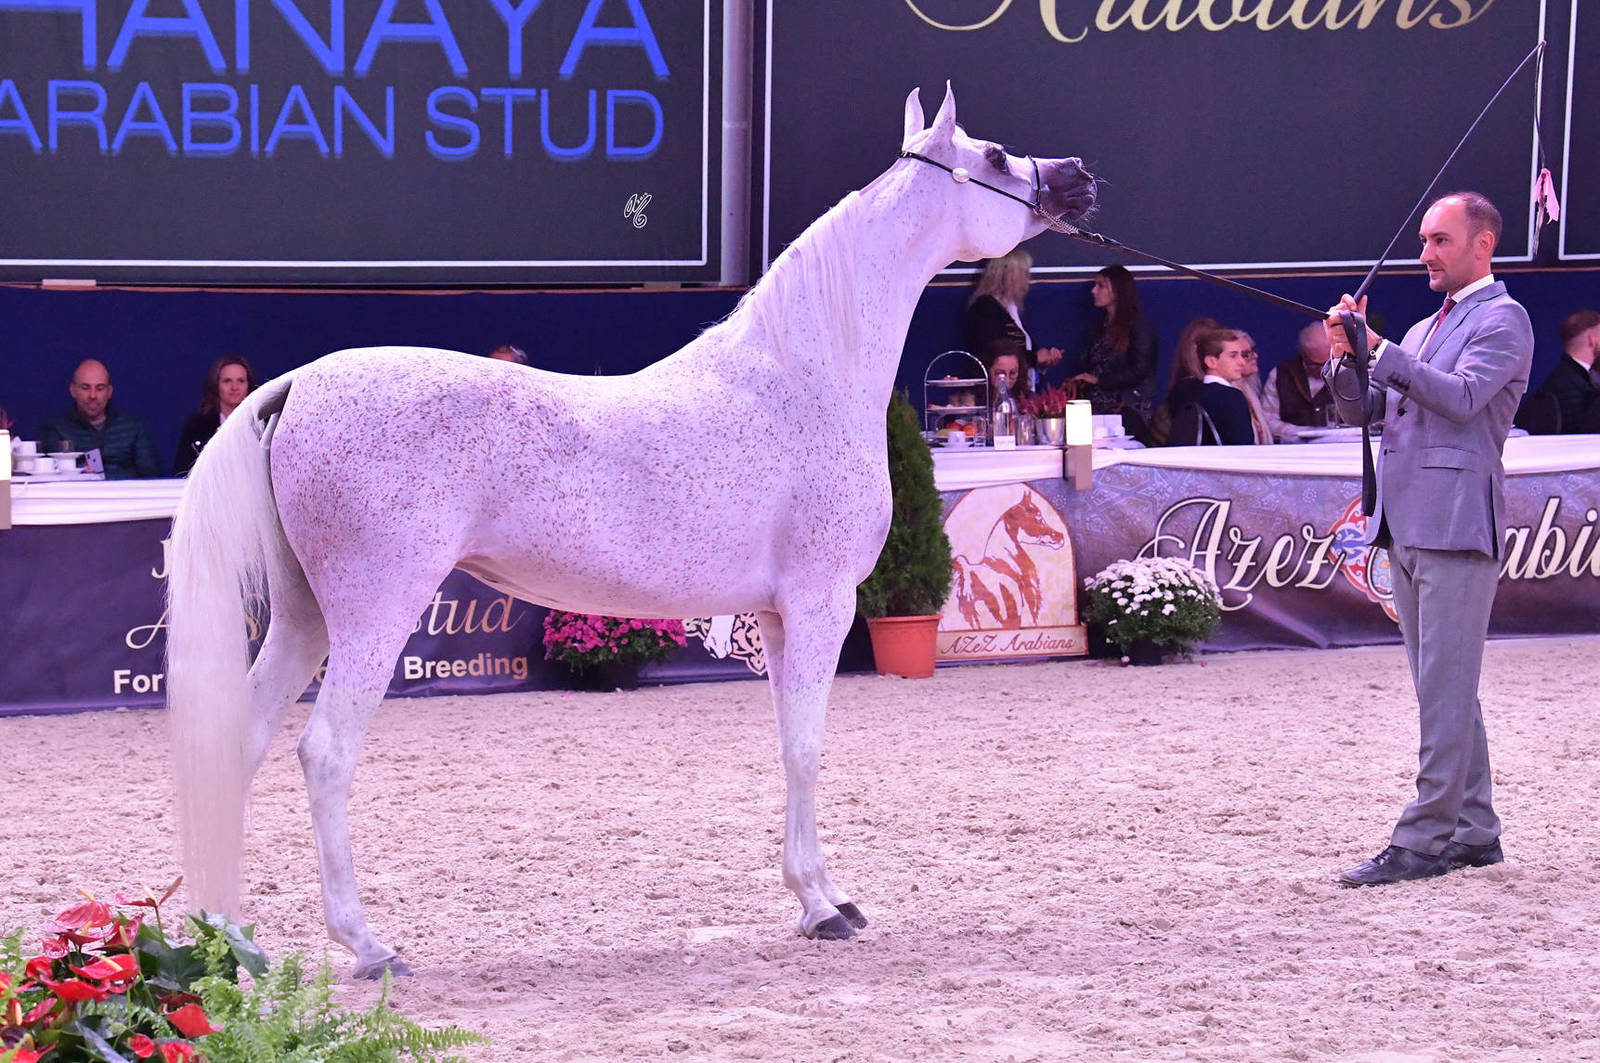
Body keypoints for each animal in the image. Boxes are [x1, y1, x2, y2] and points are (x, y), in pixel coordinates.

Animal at [166, 83, 1096, 978]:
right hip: (372, 613)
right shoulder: (822, 603)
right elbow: (806, 747)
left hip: (303, 617)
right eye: (995, 155)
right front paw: (822, 906)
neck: (802, 378)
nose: (1079, 176)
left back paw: (229, 941)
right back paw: (365, 945)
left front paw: (820, 895)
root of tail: (298, 385)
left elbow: (788, 745)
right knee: (324, 754)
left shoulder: (779, 616)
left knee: (237, 744)